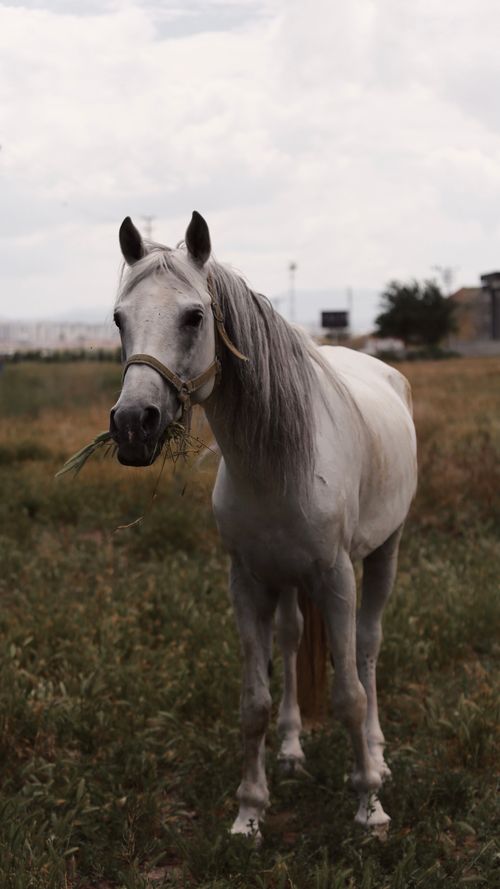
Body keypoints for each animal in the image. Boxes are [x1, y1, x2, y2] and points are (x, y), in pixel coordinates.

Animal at [110, 211, 417, 837]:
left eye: (194, 316)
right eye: (118, 318)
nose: (132, 425)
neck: (277, 465)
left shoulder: (336, 579)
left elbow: (349, 694)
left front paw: (369, 805)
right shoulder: (248, 581)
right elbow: (253, 701)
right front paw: (250, 811)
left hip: (384, 554)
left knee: (369, 648)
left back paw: (378, 754)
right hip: (289, 581)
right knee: (294, 639)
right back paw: (293, 750)